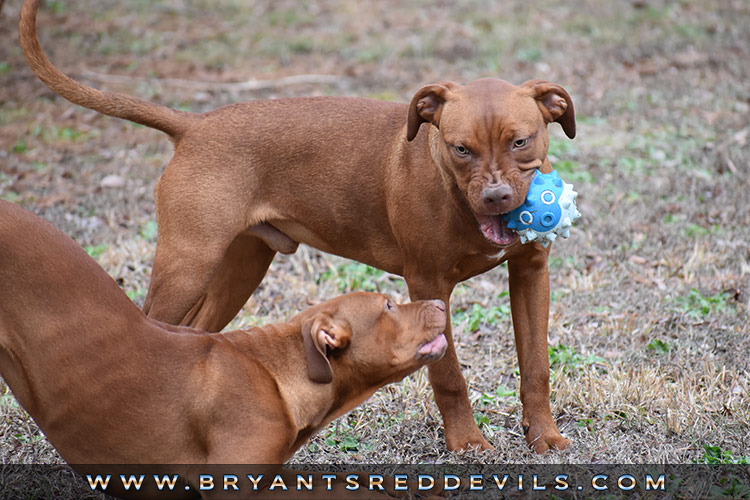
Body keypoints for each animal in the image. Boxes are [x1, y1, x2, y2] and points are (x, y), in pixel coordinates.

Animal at [20, 0, 580, 454]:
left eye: (521, 141)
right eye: (460, 148)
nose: (497, 198)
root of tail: (194, 125)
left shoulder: (531, 275)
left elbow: (536, 364)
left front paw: (544, 436)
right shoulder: (428, 284)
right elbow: (448, 376)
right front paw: (466, 444)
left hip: (239, 269)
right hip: (187, 264)